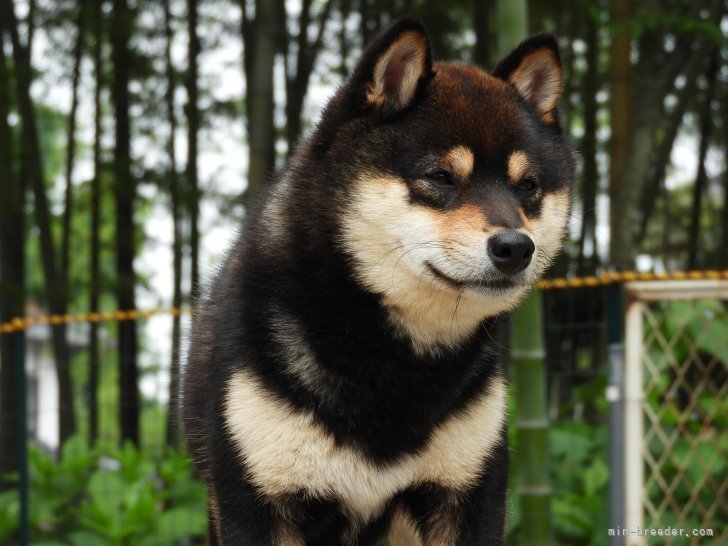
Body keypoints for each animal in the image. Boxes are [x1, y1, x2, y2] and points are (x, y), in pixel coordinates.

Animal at [183, 18, 576, 544]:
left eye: (528, 186)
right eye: (441, 177)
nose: (515, 247)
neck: (388, 357)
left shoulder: (471, 494)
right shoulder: (256, 501)